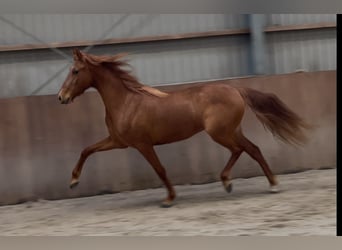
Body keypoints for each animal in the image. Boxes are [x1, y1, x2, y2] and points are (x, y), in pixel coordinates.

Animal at [58, 48, 310, 207]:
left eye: (75, 71)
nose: (61, 97)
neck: (126, 102)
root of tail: (235, 89)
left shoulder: (142, 144)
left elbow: (160, 170)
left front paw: (169, 199)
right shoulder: (118, 142)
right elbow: (87, 150)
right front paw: (73, 181)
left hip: (220, 133)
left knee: (241, 150)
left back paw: (237, 182)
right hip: (231, 131)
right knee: (252, 149)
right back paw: (264, 184)